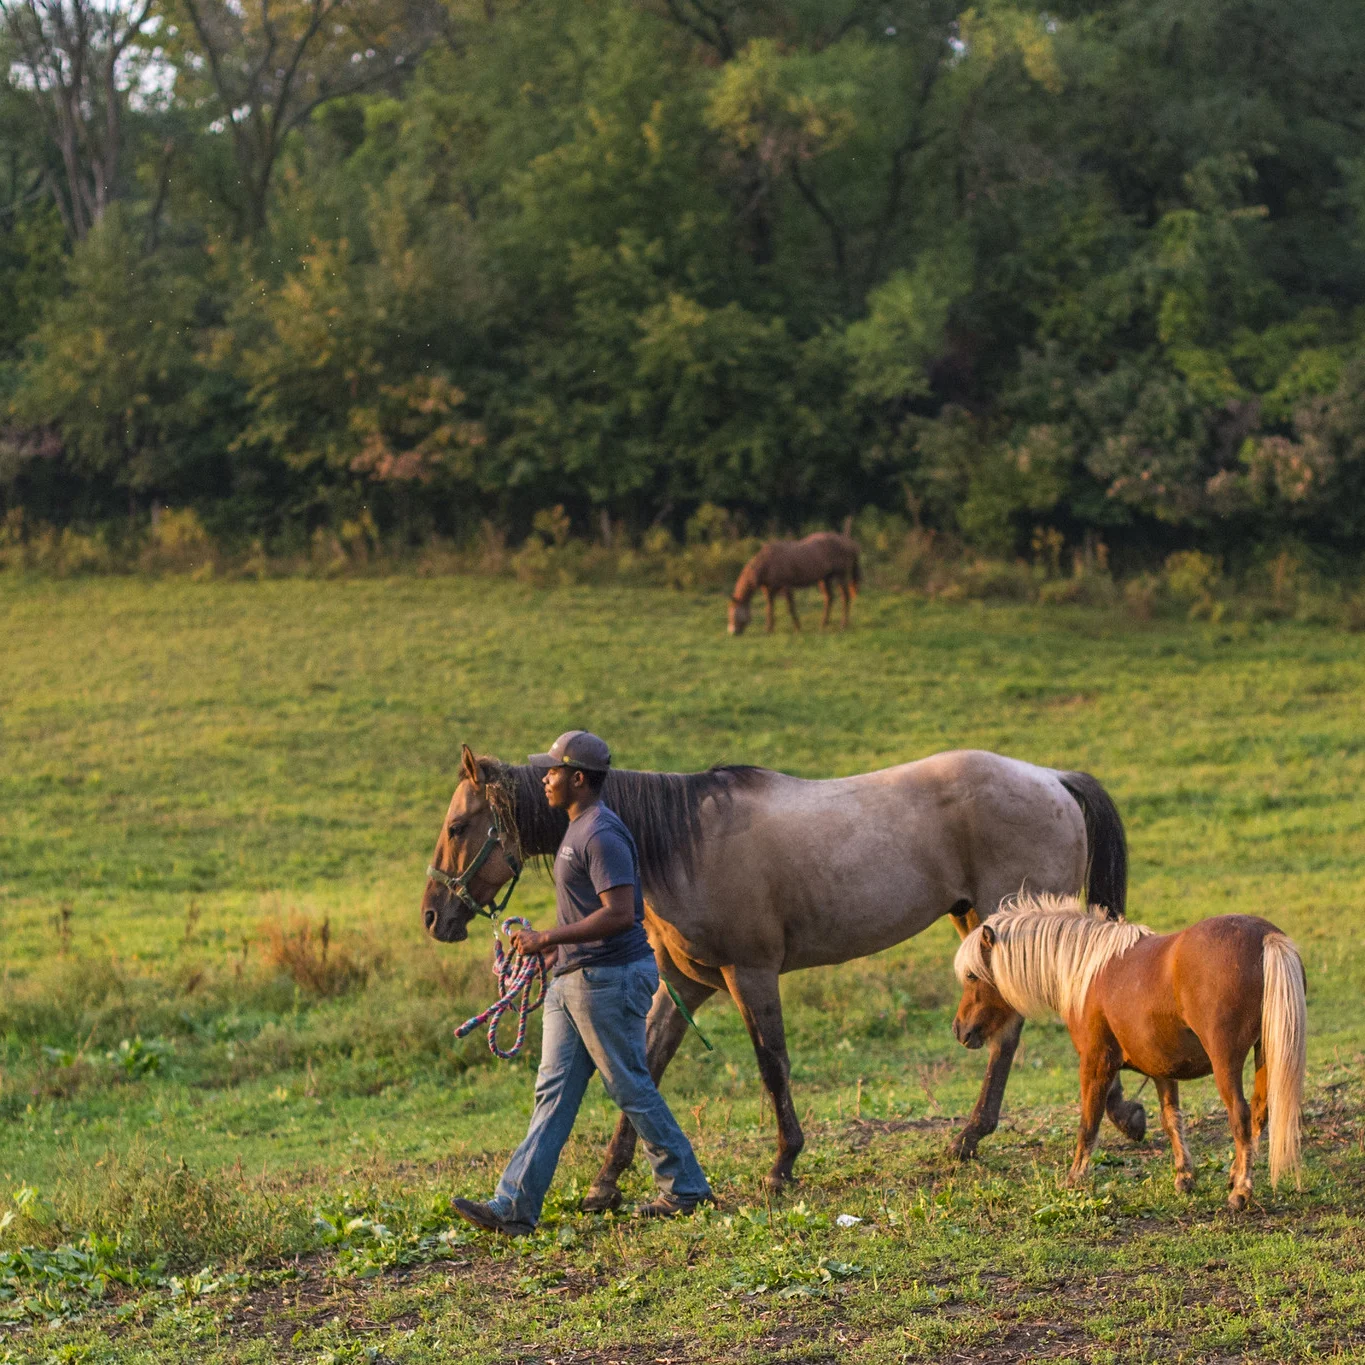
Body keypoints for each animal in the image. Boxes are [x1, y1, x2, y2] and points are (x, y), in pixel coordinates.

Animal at [417, 748, 1141, 1206]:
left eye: (458, 824)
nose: (433, 915)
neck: (680, 843)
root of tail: (1051, 778)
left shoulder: (751, 973)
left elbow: (772, 1065)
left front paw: (781, 1164)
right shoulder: (686, 984)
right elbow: (643, 1068)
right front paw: (606, 1181)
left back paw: (982, 1133)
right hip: (980, 925)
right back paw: (1107, 1114)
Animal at [955, 900, 1304, 1212]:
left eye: (971, 976)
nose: (960, 1030)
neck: (1088, 971)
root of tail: (1265, 936)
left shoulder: (1095, 1062)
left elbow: (1089, 1122)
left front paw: (1075, 1178)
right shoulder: (1163, 1068)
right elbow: (1171, 1119)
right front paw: (1184, 1177)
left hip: (1226, 1061)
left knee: (1241, 1116)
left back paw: (1240, 1192)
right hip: (1263, 1052)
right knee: (1259, 1111)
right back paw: (1235, 1177)